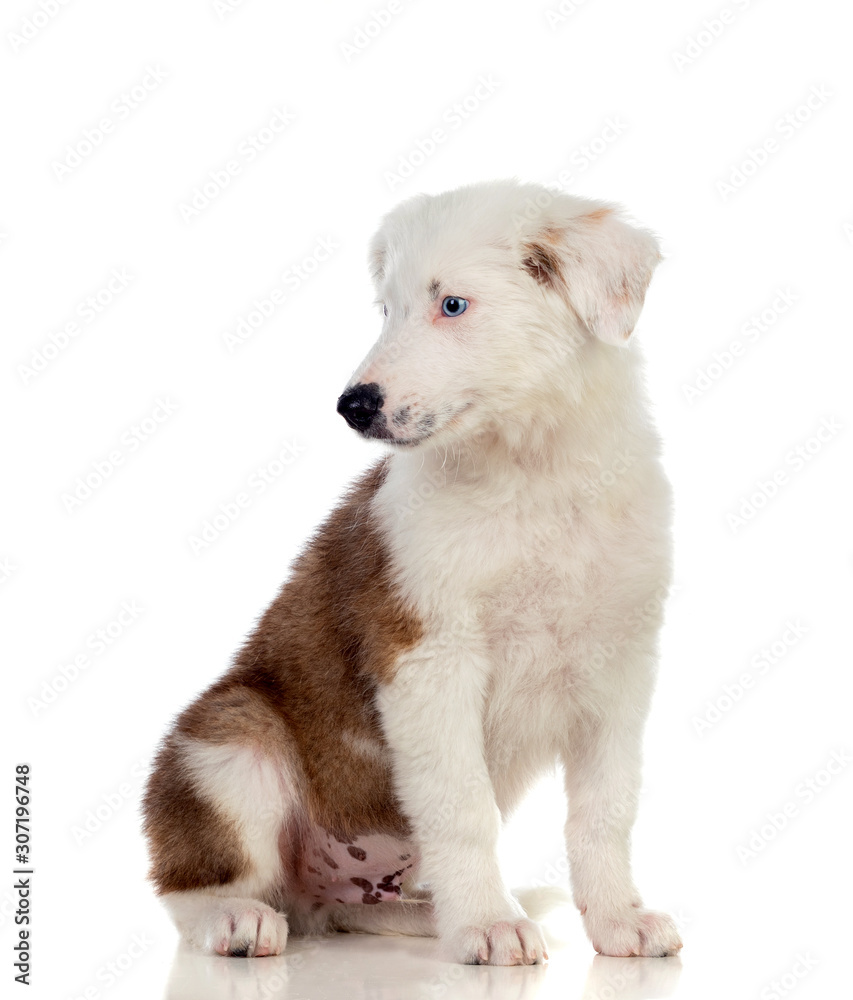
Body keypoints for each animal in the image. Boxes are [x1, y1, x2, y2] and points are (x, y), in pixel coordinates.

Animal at [143, 182, 684, 968]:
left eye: (451, 305)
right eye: (386, 310)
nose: (352, 406)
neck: (537, 472)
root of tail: (312, 897)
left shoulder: (619, 666)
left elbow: (604, 812)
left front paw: (619, 921)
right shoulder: (430, 656)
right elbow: (464, 810)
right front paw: (488, 925)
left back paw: (435, 916)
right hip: (229, 744)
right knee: (192, 889)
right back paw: (238, 920)